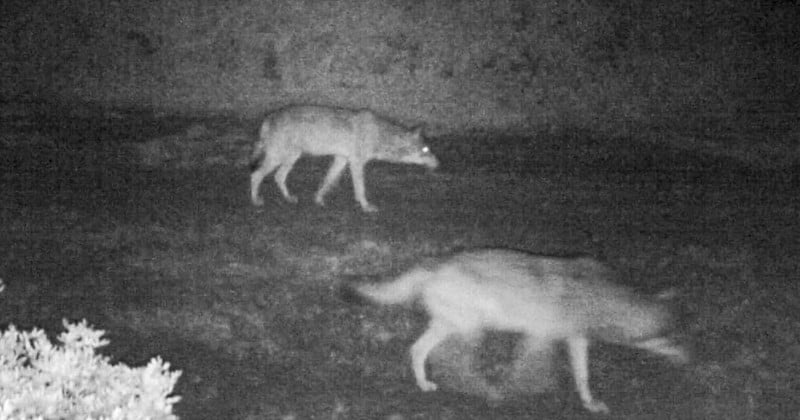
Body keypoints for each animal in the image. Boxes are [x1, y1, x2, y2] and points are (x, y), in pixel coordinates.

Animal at [248, 103, 440, 212]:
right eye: (425, 149)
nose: (438, 163)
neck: (380, 135)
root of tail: (268, 118)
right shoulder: (356, 162)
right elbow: (360, 189)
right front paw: (365, 206)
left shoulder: (341, 159)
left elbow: (326, 182)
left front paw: (318, 200)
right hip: (279, 157)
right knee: (256, 175)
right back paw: (255, 201)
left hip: (291, 157)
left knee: (278, 177)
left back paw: (288, 198)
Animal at [344, 249, 688, 414]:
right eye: (670, 337)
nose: (689, 356)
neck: (604, 295)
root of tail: (435, 263)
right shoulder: (540, 337)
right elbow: (528, 371)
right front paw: (524, 390)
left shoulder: (576, 339)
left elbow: (582, 377)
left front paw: (589, 403)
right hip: (470, 329)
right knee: (453, 361)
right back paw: (481, 389)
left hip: (452, 326)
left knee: (419, 351)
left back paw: (425, 384)